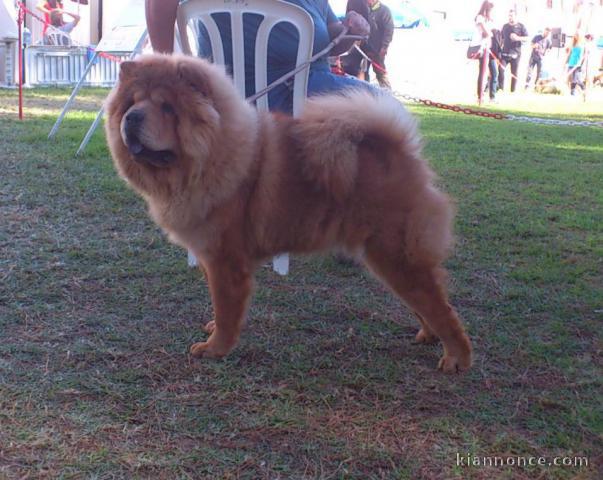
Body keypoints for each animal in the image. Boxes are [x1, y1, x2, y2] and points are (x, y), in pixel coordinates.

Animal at [104, 54, 474, 374]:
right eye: (132, 103)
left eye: (167, 107)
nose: (132, 118)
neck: (213, 156)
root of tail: (401, 150)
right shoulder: (210, 255)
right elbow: (218, 305)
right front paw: (212, 329)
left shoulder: (226, 261)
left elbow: (226, 309)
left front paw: (214, 348)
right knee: (426, 304)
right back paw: (428, 336)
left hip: (395, 255)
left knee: (441, 308)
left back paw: (456, 358)